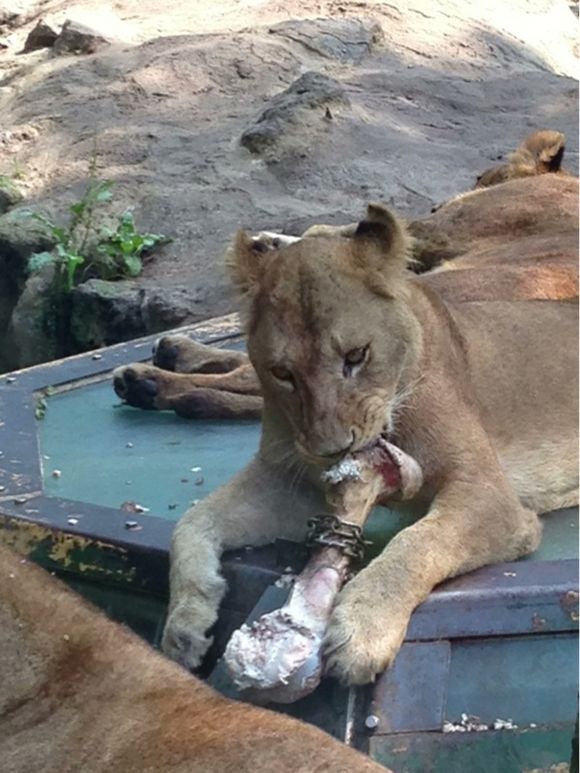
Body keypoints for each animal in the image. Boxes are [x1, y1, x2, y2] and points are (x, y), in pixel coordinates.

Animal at [112, 142, 576, 684]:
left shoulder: (491, 498)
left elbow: (417, 543)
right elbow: (192, 522)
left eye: (356, 356)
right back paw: (160, 369)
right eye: (284, 373)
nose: (333, 449)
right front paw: (185, 624)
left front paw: (361, 630)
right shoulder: (285, 482)